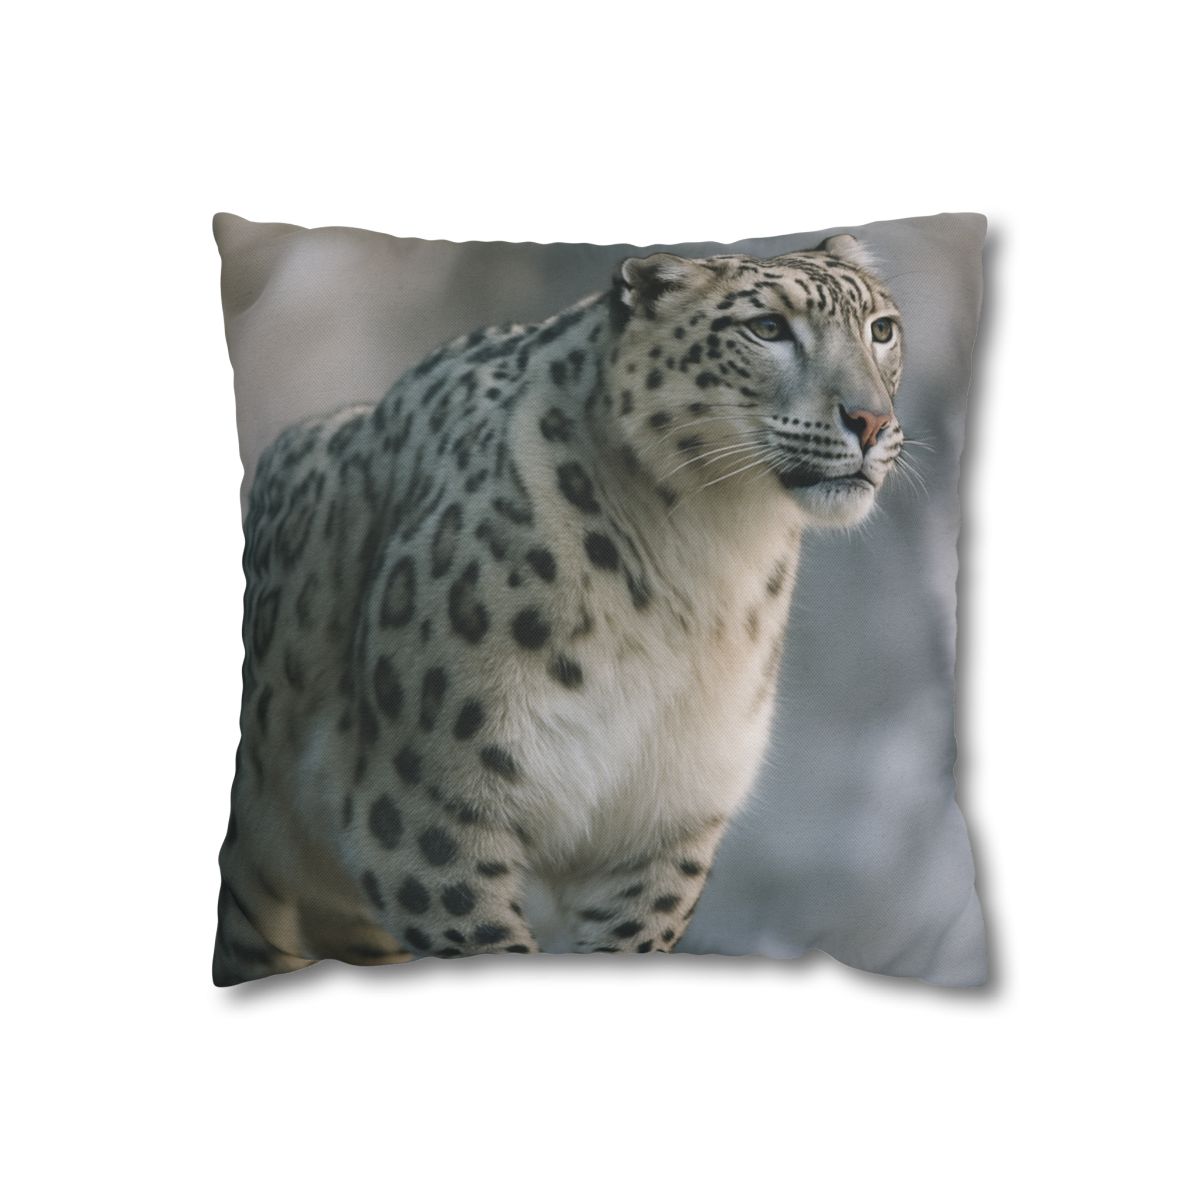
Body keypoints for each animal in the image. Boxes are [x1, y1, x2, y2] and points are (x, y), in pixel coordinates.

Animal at [214, 233, 906, 984]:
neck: (710, 563)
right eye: (768, 328)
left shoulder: (664, 822)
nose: (871, 421)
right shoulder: (425, 810)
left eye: (881, 330)